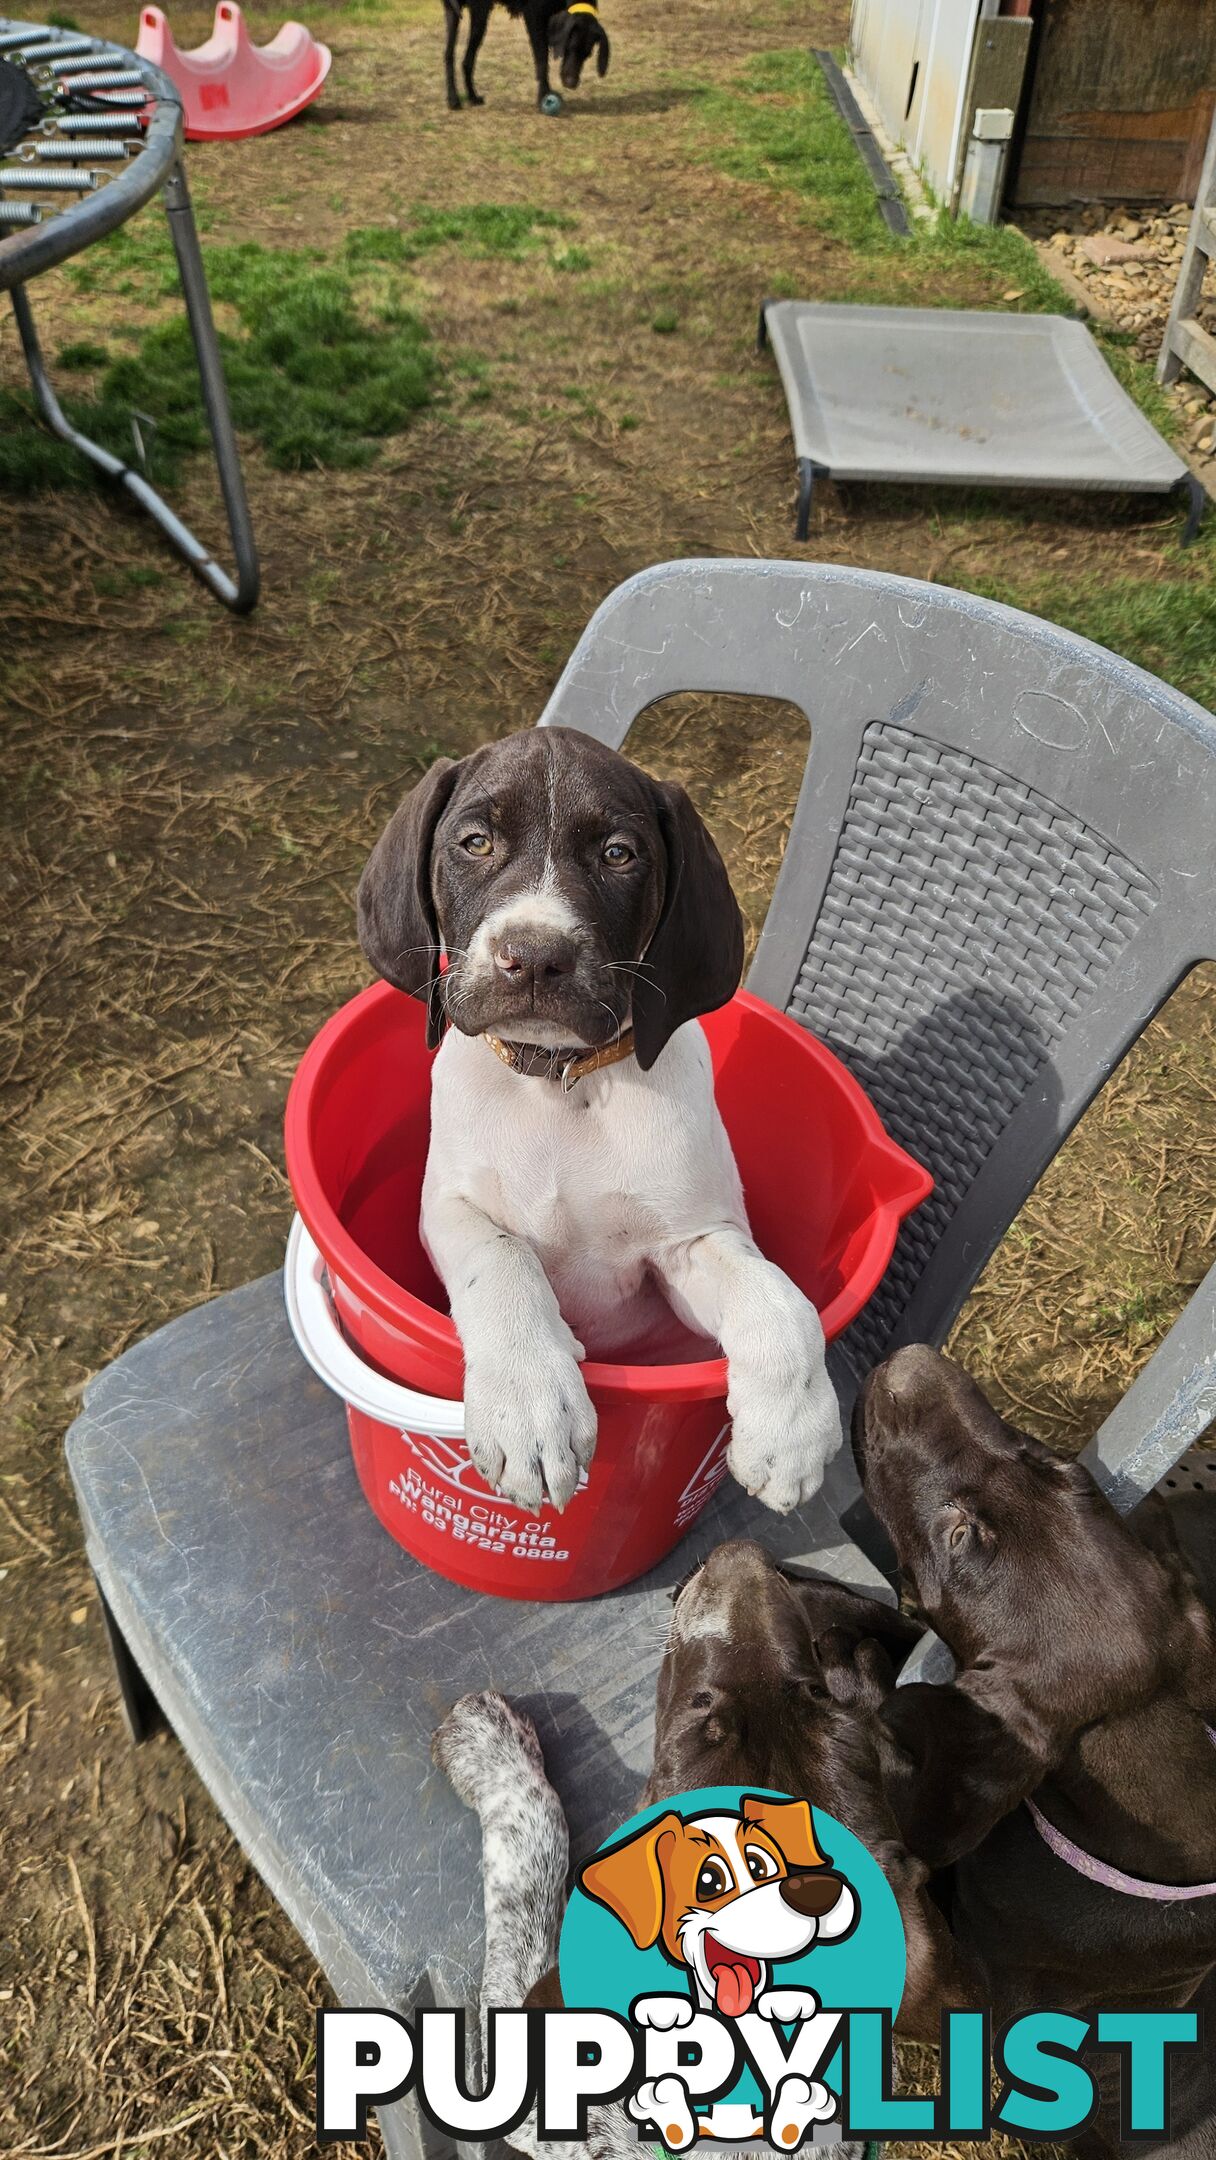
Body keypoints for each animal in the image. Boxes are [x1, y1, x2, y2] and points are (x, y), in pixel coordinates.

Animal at [356, 725, 842, 1520]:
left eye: (619, 854)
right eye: (475, 842)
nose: (534, 958)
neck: (560, 1088)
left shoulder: (690, 1243)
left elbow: (776, 1299)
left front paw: (792, 1431)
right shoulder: (448, 1208)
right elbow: (503, 1260)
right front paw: (529, 1405)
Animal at [442, 0, 609, 111]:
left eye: (588, 54)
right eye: (569, 47)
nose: (571, 83)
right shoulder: (533, 16)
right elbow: (542, 59)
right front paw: (543, 96)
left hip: (464, 12)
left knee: (459, 57)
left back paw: (469, 97)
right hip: (475, 12)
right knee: (455, 55)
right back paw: (455, 99)